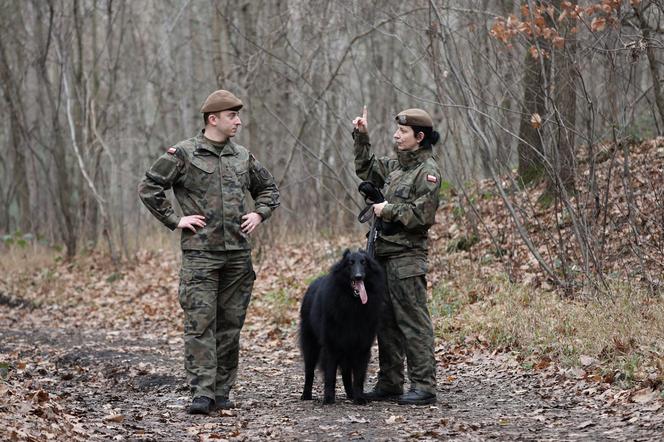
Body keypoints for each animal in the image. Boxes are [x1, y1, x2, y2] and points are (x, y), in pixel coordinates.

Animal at [300, 249, 386, 404]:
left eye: (364, 263)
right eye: (350, 263)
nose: (358, 277)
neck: (353, 303)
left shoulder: (362, 347)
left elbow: (358, 377)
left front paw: (359, 398)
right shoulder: (331, 346)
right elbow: (330, 376)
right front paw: (328, 399)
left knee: (346, 373)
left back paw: (350, 394)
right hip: (311, 346)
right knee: (309, 371)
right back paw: (306, 395)